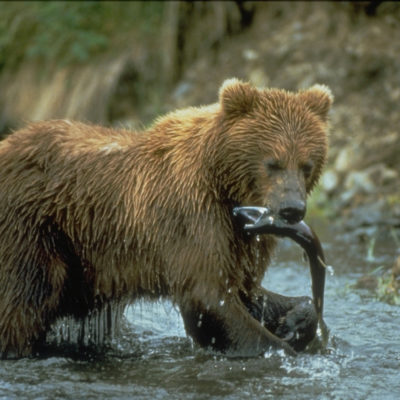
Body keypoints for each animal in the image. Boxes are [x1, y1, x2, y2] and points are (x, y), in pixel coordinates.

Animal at [0, 79, 332, 360]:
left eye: (307, 164)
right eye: (272, 163)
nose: (292, 209)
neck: (225, 186)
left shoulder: (242, 242)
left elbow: (246, 290)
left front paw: (293, 323)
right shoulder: (191, 215)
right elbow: (207, 297)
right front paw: (279, 348)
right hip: (32, 229)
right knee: (24, 302)